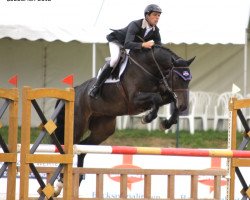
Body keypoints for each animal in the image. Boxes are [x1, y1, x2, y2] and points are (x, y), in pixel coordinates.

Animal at [53, 45, 195, 195]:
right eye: (176, 77)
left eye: (189, 79)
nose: (184, 106)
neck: (150, 69)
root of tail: (76, 90)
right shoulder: (134, 100)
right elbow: (156, 98)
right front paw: (147, 118)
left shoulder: (164, 93)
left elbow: (171, 99)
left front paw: (166, 123)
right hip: (78, 125)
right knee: (68, 147)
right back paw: (60, 183)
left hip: (103, 129)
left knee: (83, 147)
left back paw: (78, 179)